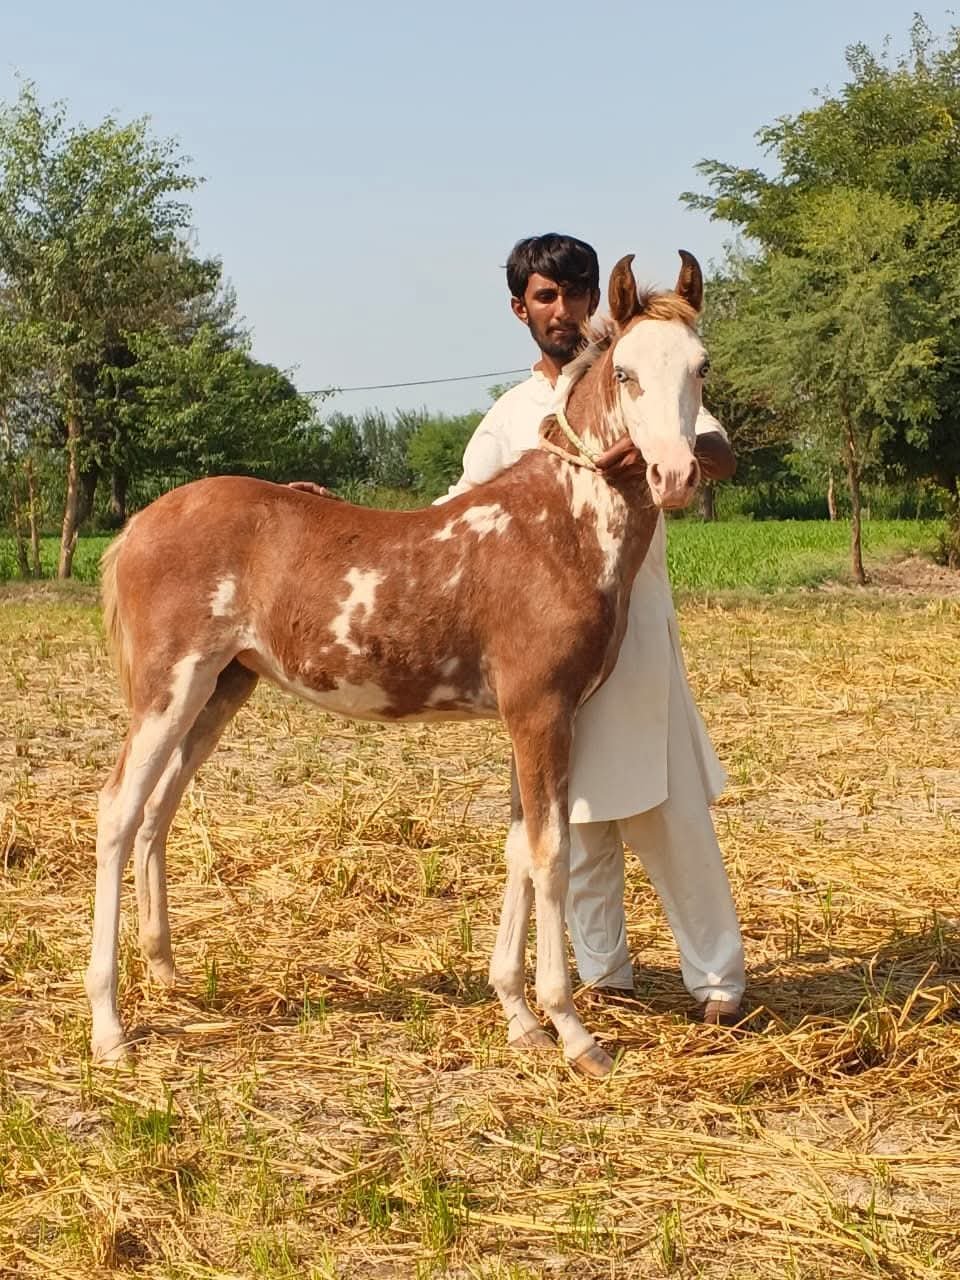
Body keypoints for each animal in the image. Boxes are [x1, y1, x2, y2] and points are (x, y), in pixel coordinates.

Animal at [86, 251, 709, 1077]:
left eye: (701, 367)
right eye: (631, 373)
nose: (677, 476)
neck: (558, 528)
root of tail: (137, 525)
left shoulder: (529, 718)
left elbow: (518, 848)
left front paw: (518, 1016)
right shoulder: (540, 711)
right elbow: (551, 853)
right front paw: (573, 1032)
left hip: (220, 689)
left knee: (159, 807)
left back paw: (166, 972)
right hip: (170, 687)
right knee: (119, 811)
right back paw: (109, 1026)